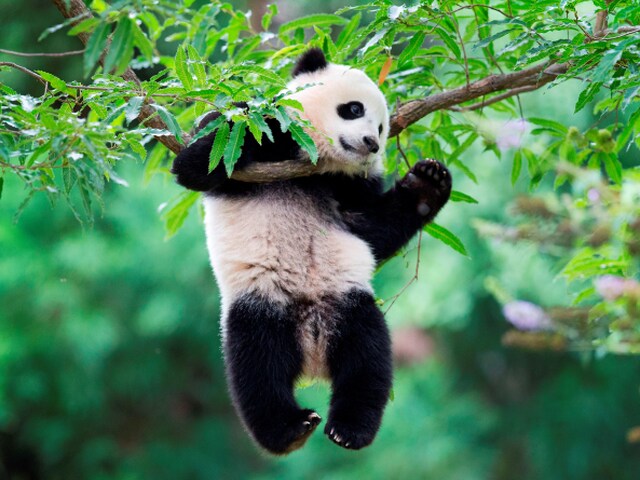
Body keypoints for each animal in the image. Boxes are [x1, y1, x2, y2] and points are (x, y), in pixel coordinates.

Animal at [171, 48, 452, 454]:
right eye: (353, 109)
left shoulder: (351, 187)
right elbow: (203, 160)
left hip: (347, 303)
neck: (320, 165)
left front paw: (428, 183)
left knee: (368, 359)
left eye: (383, 128)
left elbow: (373, 231)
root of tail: (312, 353)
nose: (371, 143)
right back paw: (289, 429)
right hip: (262, 304)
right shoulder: (238, 139)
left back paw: (349, 429)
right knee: (257, 366)